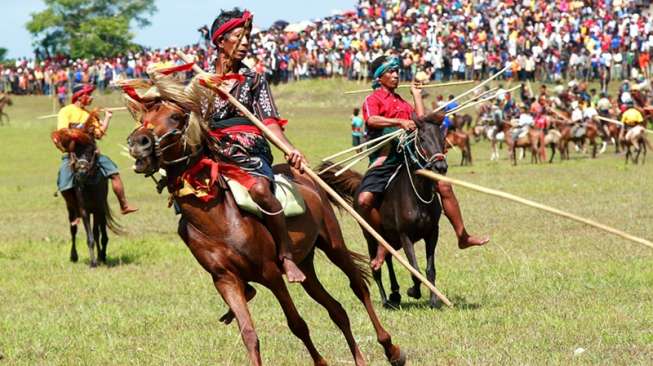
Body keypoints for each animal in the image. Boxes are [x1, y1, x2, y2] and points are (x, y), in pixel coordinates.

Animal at [50, 128, 120, 266]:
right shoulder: (84, 211)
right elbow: (90, 237)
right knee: (73, 230)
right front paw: (93, 262)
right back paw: (74, 256)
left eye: (90, 152)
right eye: (75, 152)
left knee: (99, 232)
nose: (81, 172)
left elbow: (98, 234)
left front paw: (101, 257)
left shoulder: (99, 209)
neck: (89, 186)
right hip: (71, 209)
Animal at [123, 81, 402, 366]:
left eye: (175, 117)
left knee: (359, 287)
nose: (138, 143)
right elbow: (249, 334)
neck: (217, 220)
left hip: (333, 243)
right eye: (143, 118)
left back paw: (391, 349)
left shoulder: (271, 274)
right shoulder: (225, 280)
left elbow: (297, 324)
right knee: (336, 309)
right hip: (306, 264)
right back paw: (359, 358)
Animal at [320, 112, 448, 308]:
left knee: (387, 258)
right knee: (376, 267)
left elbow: (429, 268)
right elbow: (414, 269)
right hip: (371, 237)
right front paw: (413, 291)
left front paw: (433, 300)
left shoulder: (432, 233)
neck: (418, 195)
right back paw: (386, 299)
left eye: (443, 139)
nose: (440, 167)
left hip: (390, 238)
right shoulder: (405, 235)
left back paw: (394, 293)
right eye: (422, 139)